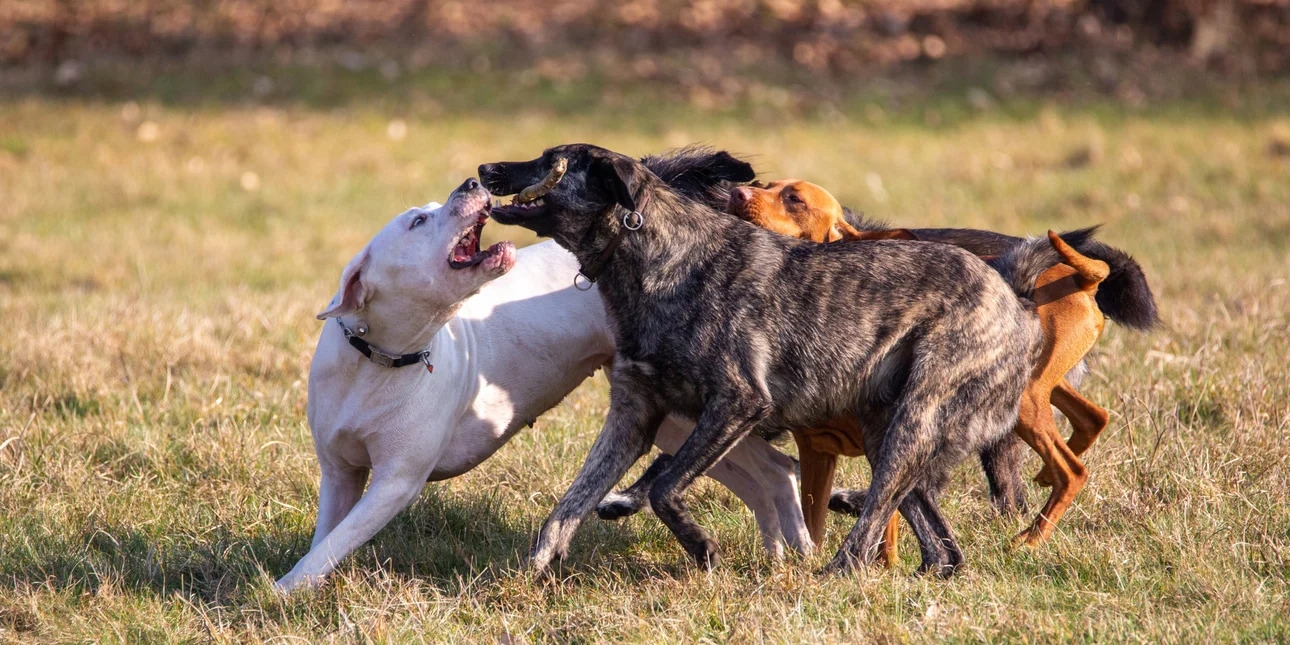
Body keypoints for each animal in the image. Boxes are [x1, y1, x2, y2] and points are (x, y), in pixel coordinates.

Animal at [274, 179, 804, 590]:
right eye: (418, 222)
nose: (471, 183)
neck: (380, 358)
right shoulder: (340, 474)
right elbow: (327, 537)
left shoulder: (394, 483)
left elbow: (334, 544)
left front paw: (283, 590)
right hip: (677, 421)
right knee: (767, 473)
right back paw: (780, 555)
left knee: (774, 469)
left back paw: (794, 552)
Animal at [479, 145, 1042, 575]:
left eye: (553, 159)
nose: (484, 170)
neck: (658, 257)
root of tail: (1014, 296)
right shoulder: (632, 418)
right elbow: (567, 507)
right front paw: (532, 575)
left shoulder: (737, 404)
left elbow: (663, 487)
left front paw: (702, 548)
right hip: (886, 430)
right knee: (941, 545)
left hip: (914, 421)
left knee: (872, 523)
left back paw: (832, 575)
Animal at [732, 179, 1114, 562]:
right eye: (764, 185)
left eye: (794, 199)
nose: (738, 193)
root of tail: (1083, 280)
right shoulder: (818, 452)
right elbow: (814, 521)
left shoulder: (882, 447)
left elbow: (884, 522)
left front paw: (881, 566)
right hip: (1038, 392)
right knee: (1093, 419)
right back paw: (1044, 485)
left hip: (1023, 401)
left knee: (1072, 470)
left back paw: (1031, 538)